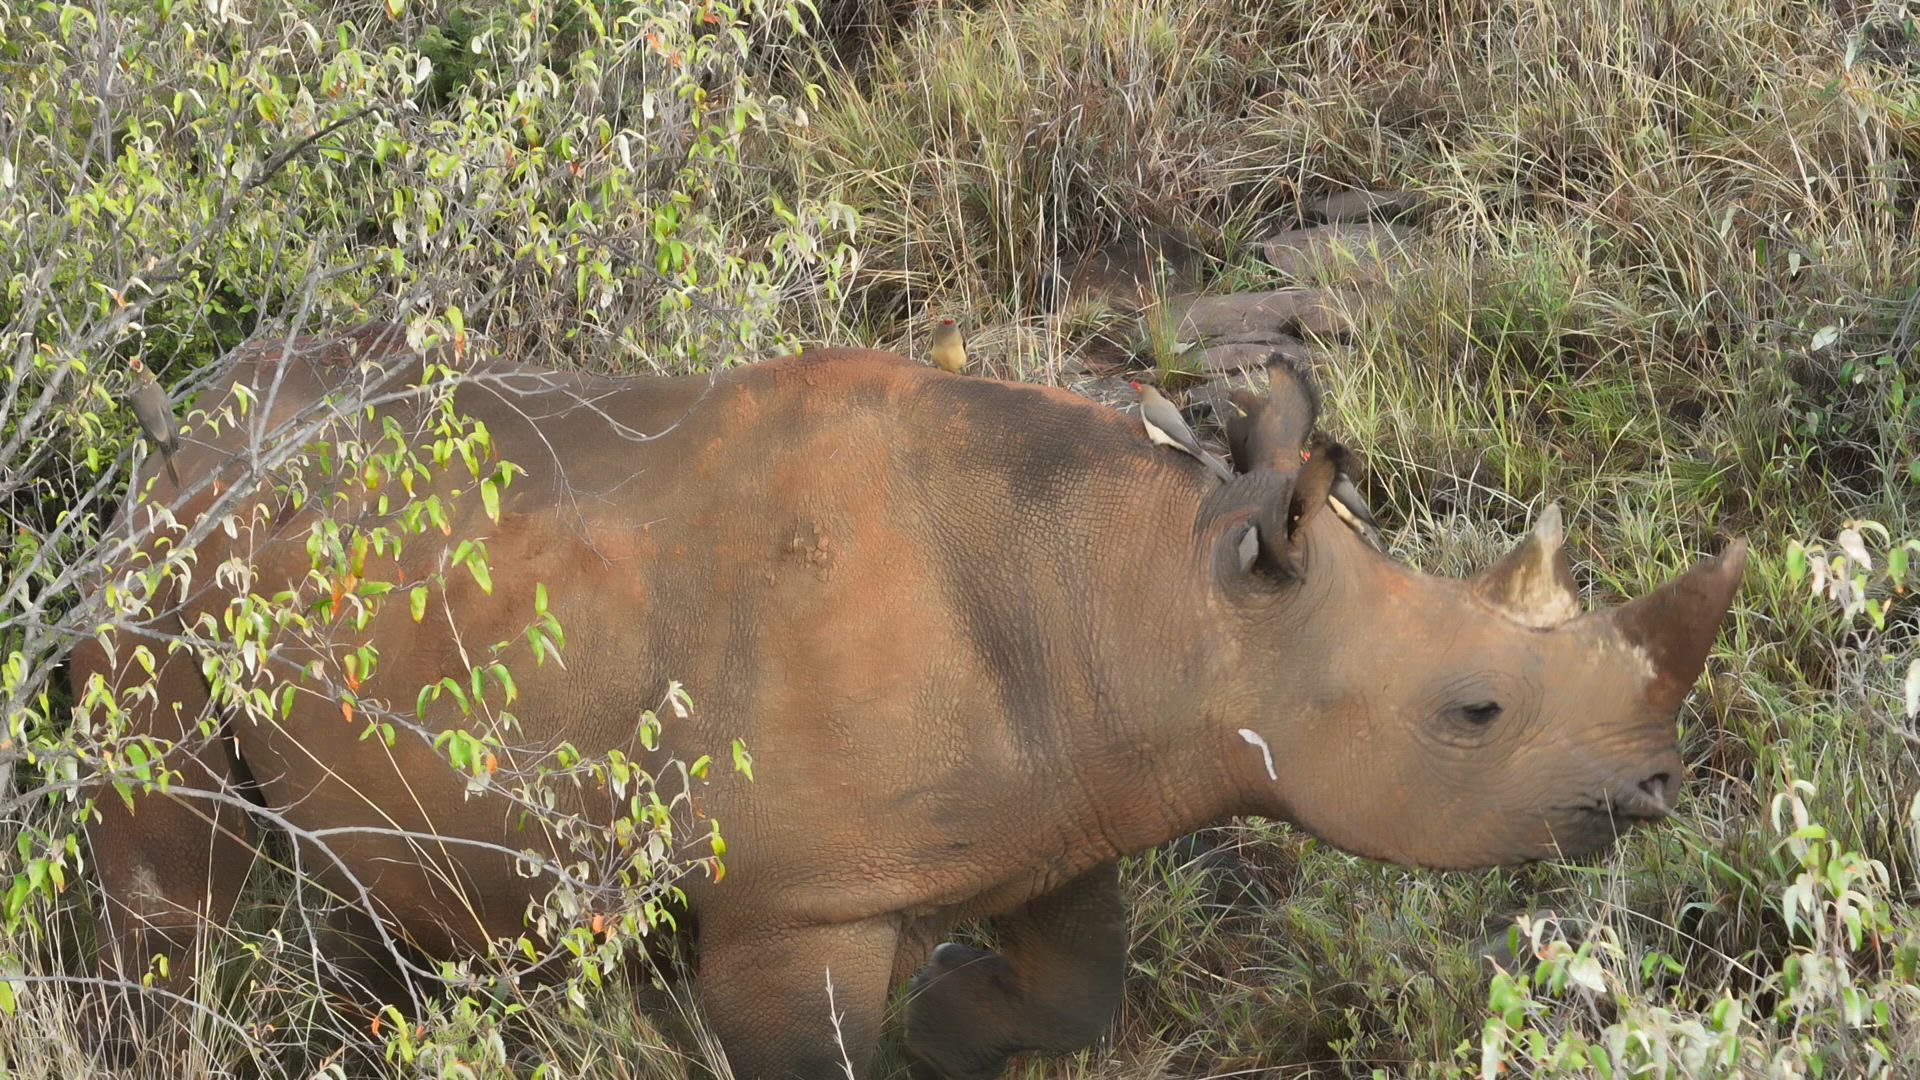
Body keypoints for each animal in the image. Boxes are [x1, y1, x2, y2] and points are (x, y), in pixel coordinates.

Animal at [73, 323, 1745, 1079]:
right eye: (1475, 714)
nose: (1658, 789)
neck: (1157, 593)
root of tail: (172, 435)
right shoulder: (794, 900)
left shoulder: (1059, 804)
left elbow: (1077, 988)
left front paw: (948, 1011)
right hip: (159, 575)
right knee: (176, 883)